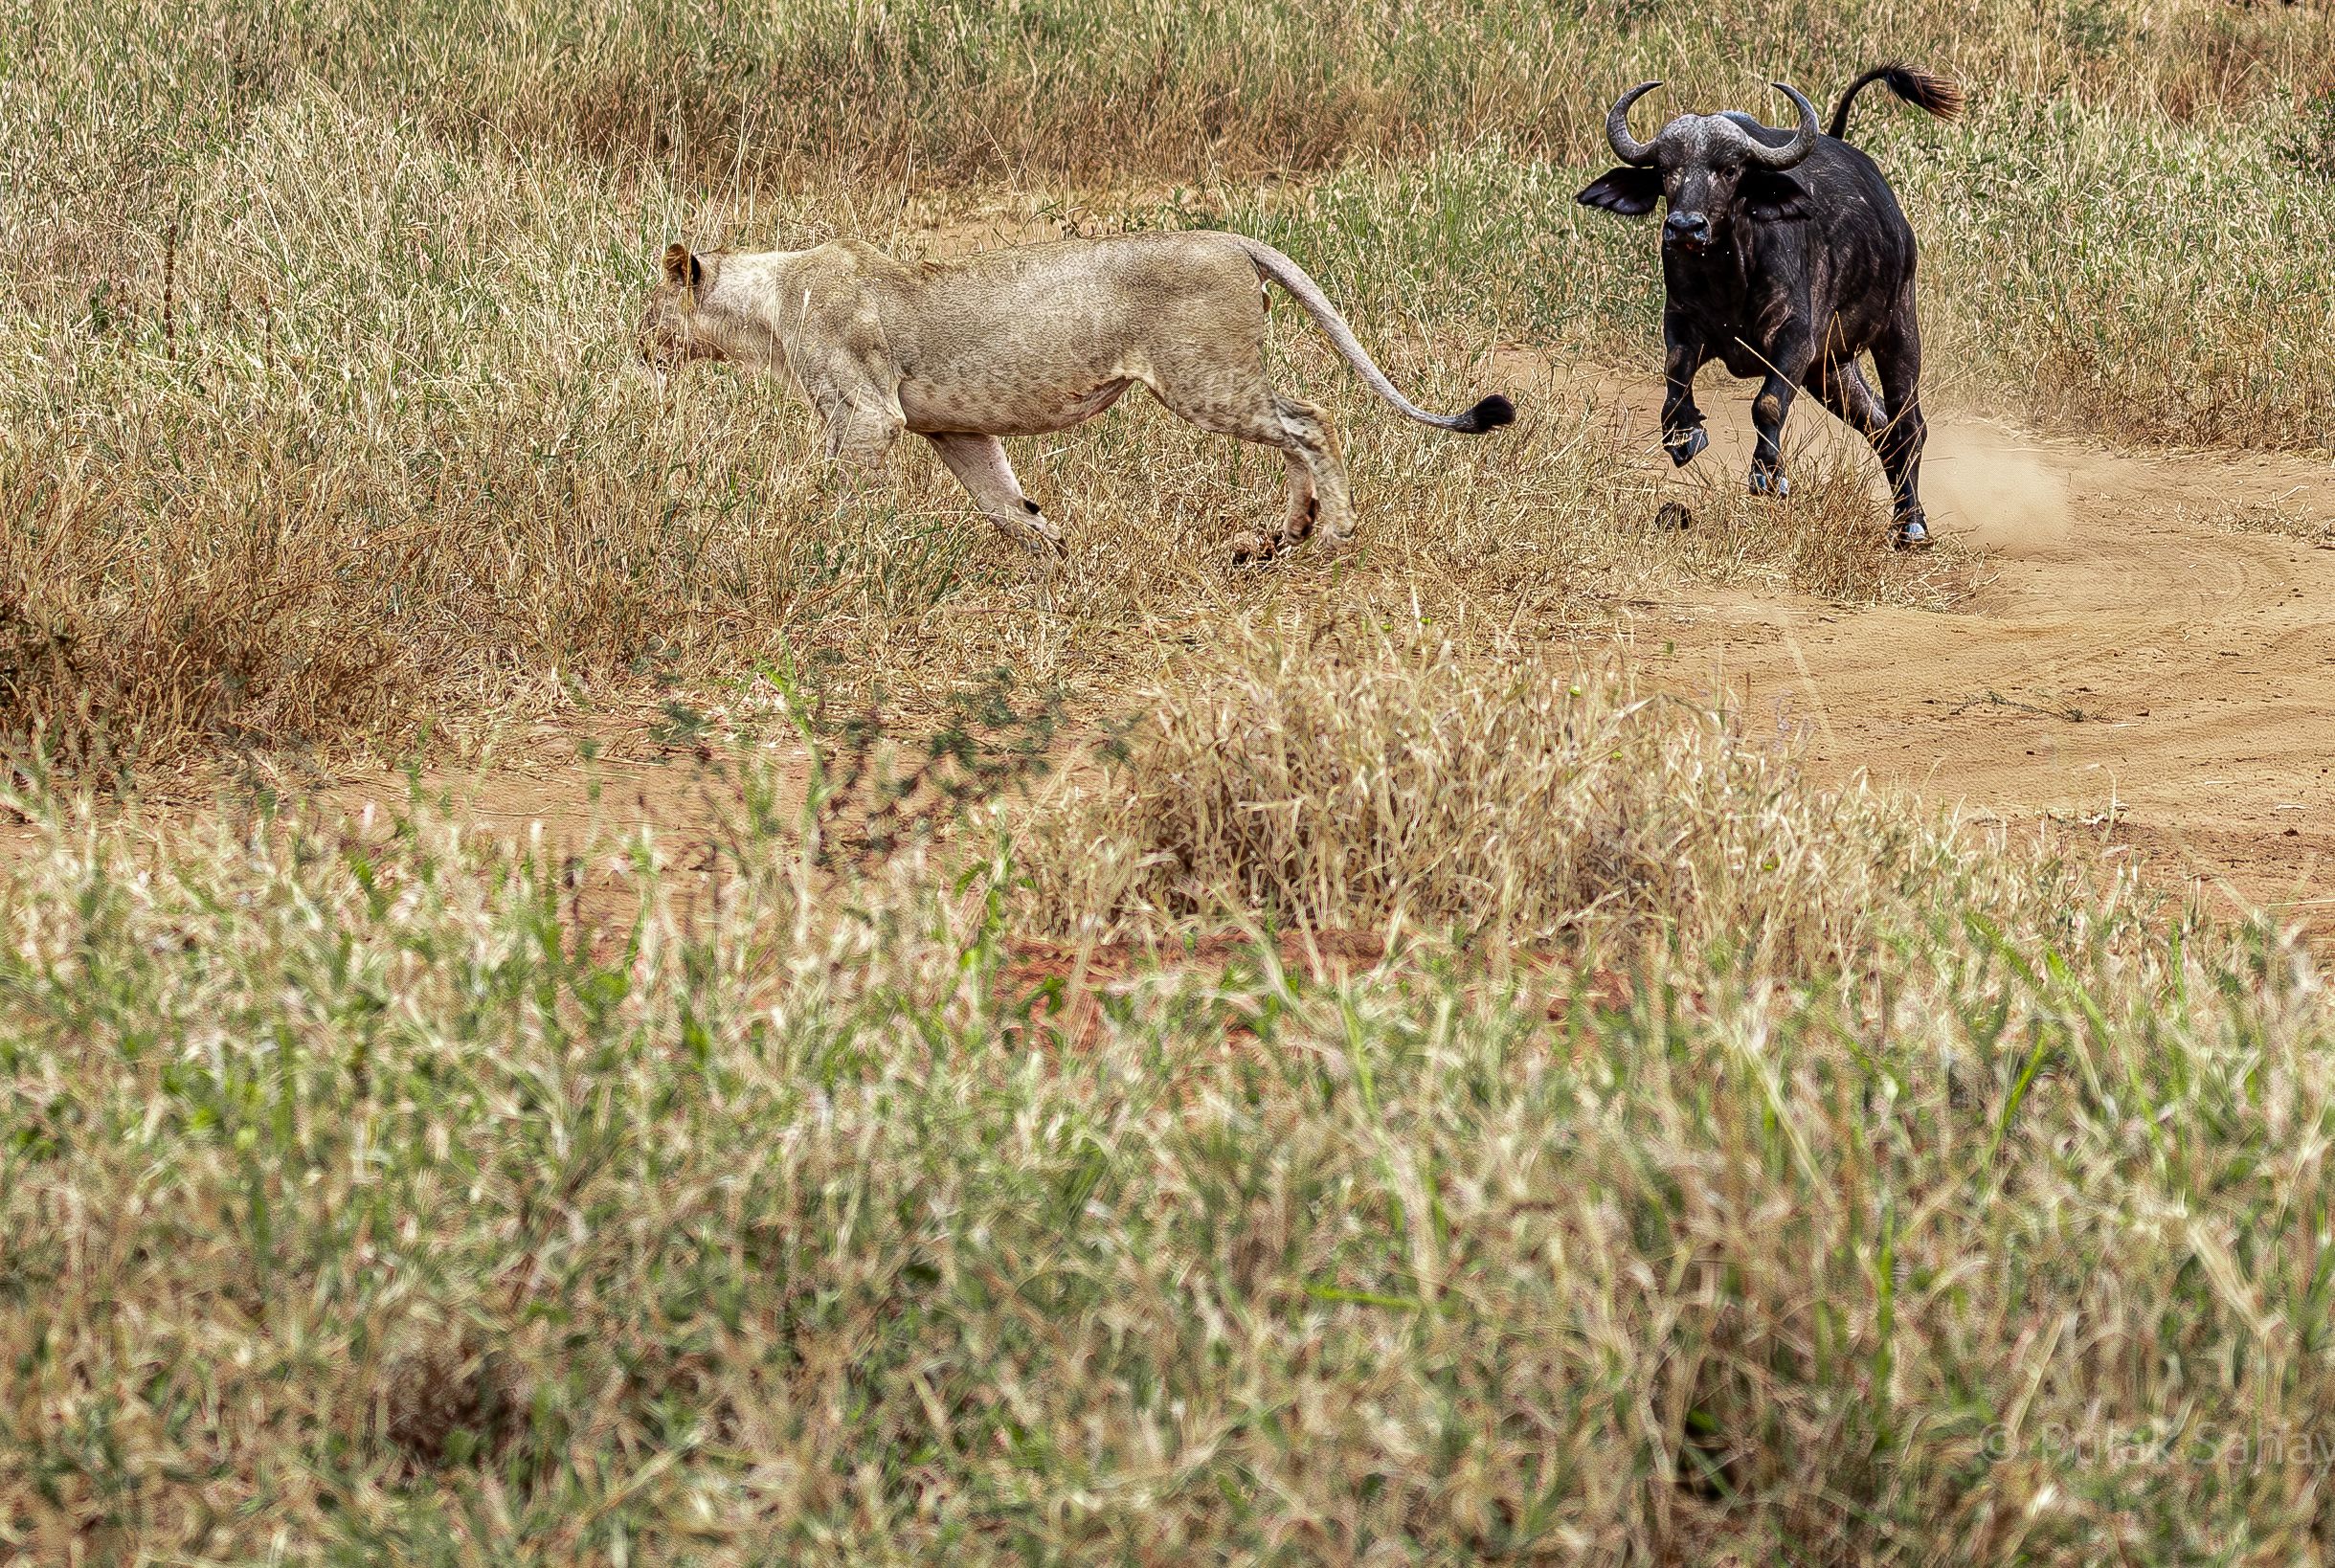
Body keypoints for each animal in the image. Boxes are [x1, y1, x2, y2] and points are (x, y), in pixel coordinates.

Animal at [636, 231, 1515, 560]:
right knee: (1296, 429)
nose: (636, 348)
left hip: (1203, 379)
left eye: (647, 309)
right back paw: (1279, 536)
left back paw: (1328, 531)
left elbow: (838, 493)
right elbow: (1003, 501)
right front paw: (1055, 556)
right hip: (1217, 381)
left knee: (1310, 419)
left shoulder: (867, 416)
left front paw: (827, 551)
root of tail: (1229, 236)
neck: (765, 303)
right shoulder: (952, 428)